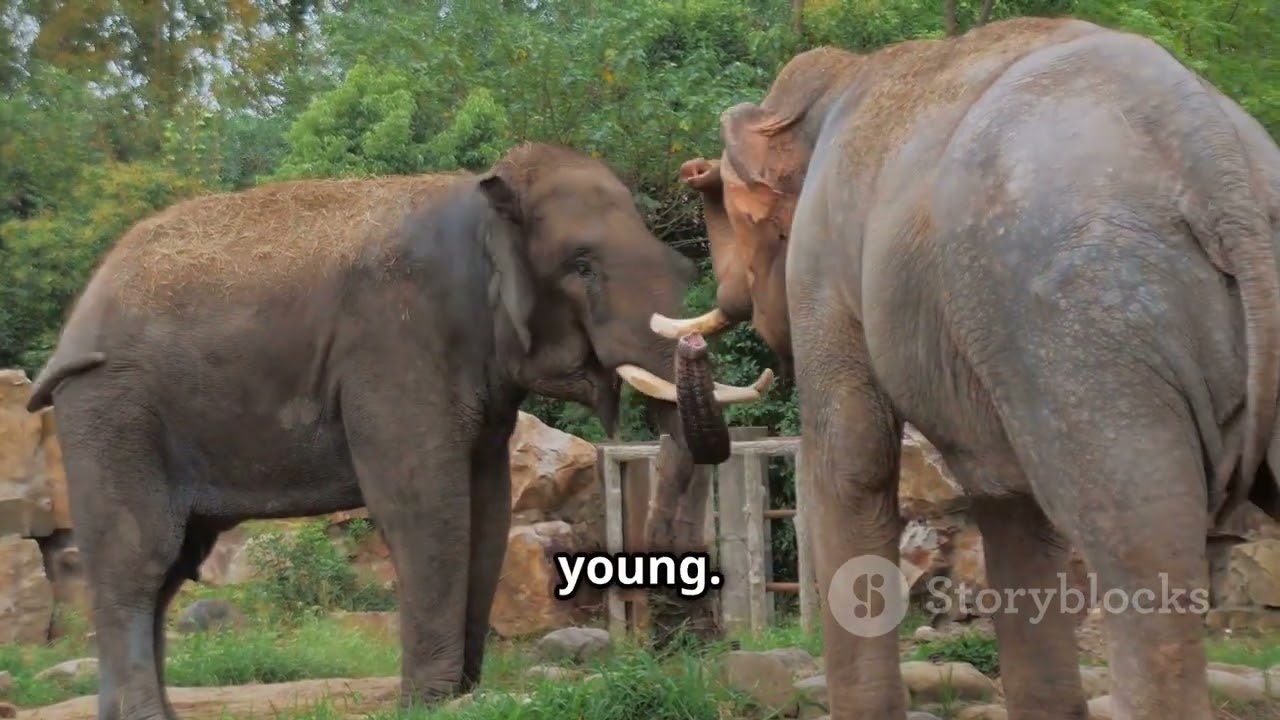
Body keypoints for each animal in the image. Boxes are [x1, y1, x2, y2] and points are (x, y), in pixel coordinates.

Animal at [24, 141, 773, 720]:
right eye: (581, 267)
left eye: (680, 268)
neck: (481, 199)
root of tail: (75, 321)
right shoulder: (394, 343)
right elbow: (424, 504)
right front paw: (433, 700)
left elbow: (487, 508)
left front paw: (463, 694)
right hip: (110, 409)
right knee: (139, 560)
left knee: (173, 565)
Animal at [653, 16, 1280, 720]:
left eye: (728, 215)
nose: (695, 345)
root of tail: (1216, 165)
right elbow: (1009, 506)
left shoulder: (823, 261)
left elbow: (852, 466)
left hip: (1087, 331)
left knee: (1141, 553)